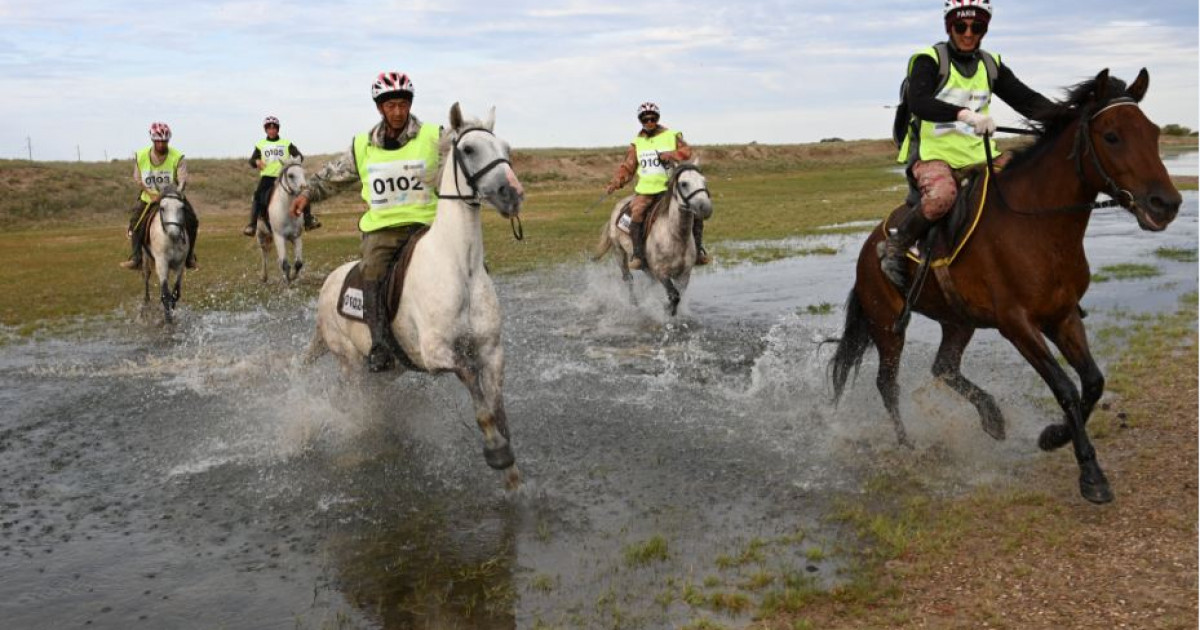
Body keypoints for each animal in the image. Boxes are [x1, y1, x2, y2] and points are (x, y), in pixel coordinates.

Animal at [141, 186, 189, 321]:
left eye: (182, 208)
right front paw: (168, 318)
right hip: (146, 258)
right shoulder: (162, 263)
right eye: (162, 208)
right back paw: (146, 301)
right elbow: (165, 294)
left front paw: (171, 312)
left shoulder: (180, 265)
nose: (174, 233)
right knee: (146, 276)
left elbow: (175, 293)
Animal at [307, 103, 523, 489]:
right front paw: (496, 451)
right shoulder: (437, 353)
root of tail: (328, 285)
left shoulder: (492, 350)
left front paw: (512, 473)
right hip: (350, 363)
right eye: (470, 149)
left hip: (386, 370)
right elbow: (477, 393)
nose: (511, 194)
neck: (460, 267)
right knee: (349, 400)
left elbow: (497, 406)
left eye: (506, 149)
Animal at [592, 163, 705, 314]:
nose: (703, 206)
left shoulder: (684, 275)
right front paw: (666, 309)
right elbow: (674, 295)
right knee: (628, 278)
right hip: (619, 252)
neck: (675, 236)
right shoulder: (661, 272)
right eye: (684, 184)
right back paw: (634, 304)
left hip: (646, 266)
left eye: (704, 181)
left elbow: (678, 295)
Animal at [830, 67, 1185, 501]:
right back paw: (908, 445)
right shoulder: (1017, 324)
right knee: (888, 384)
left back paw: (992, 418)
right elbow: (1065, 388)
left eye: (1153, 133)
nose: (1166, 204)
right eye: (1112, 136)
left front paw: (1053, 436)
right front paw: (1090, 472)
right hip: (887, 326)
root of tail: (869, 247)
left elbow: (1093, 383)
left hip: (958, 321)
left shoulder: (1062, 316)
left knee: (943, 367)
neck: (1036, 225)